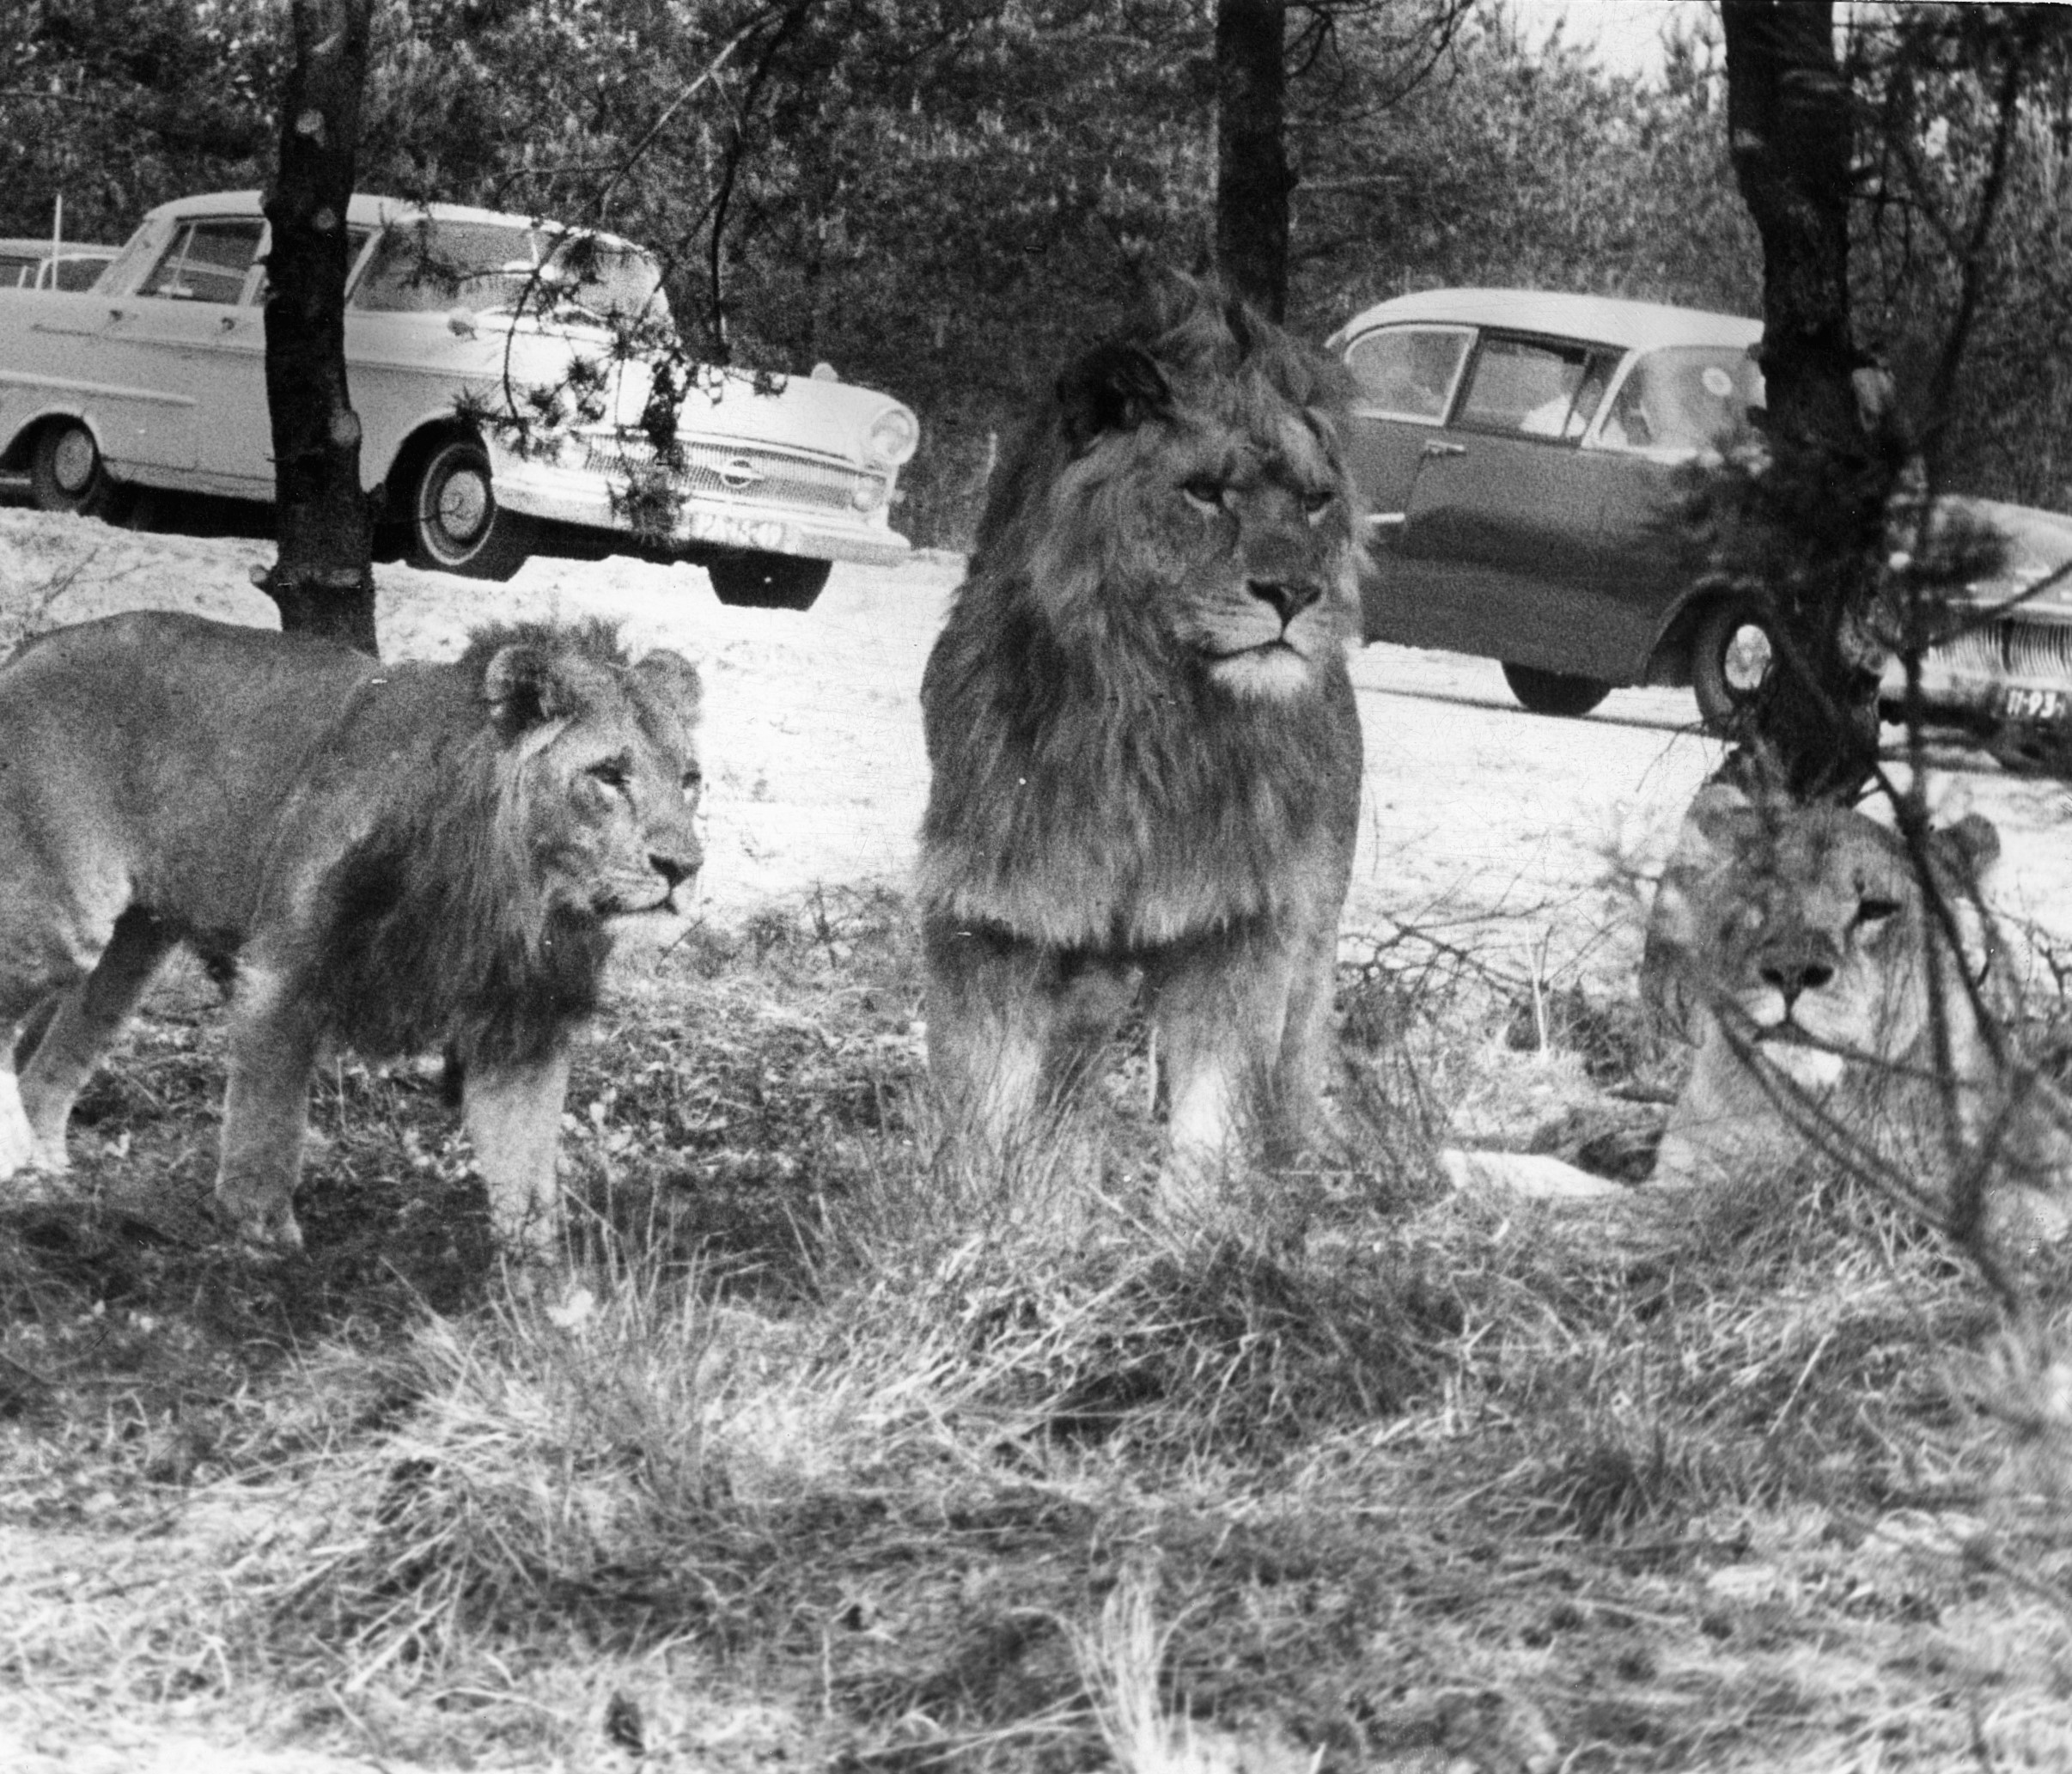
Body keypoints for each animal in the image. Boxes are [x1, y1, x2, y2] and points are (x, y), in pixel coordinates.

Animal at [0, 609, 704, 1243]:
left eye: (690, 779)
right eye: (608, 775)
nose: (685, 866)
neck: (518, 890)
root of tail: (31, 649)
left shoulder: (522, 1019)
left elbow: (528, 1175)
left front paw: (543, 1291)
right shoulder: (285, 966)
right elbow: (270, 1118)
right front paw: (260, 1237)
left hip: (132, 946)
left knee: (53, 1065)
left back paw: (45, 1182)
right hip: (63, 919)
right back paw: (16, 1160)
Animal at [916, 277, 1367, 1193]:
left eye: (1314, 501)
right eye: (1205, 492)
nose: (1295, 593)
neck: (1152, 717)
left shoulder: (1245, 926)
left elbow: (1214, 1116)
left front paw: (1196, 1219)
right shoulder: (994, 913)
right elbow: (984, 1107)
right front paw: (981, 1209)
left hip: (1315, 927)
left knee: (1294, 1064)